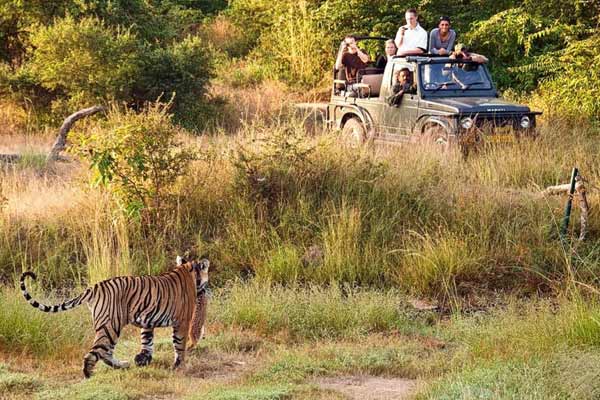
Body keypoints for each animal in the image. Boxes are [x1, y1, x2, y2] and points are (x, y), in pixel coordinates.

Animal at [18, 256, 210, 378]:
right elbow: (179, 344)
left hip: (109, 326)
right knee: (95, 353)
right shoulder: (183, 321)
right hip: (111, 325)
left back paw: (123, 365)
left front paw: (143, 359)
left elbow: (147, 341)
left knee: (105, 353)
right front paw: (180, 365)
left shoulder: (147, 320)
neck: (188, 271)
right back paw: (89, 375)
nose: (207, 289)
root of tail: (94, 287)